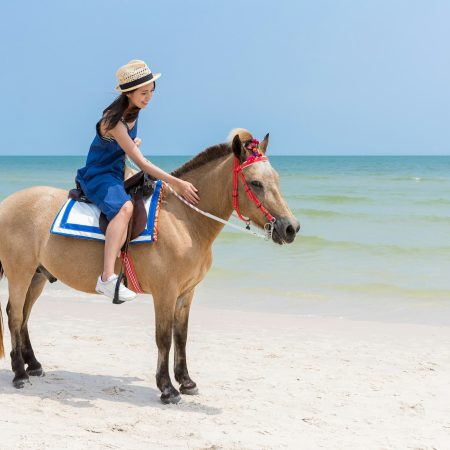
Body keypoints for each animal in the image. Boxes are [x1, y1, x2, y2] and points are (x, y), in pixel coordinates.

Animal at [0, 127, 302, 404]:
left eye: (275, 179)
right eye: (255, 183)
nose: (291, 228)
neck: (184, 220)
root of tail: (7, 203)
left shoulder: (185, 293)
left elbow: (181, 336)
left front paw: (186, 381)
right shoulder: (165, 293)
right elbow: (164, 338)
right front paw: (167, 388)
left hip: (37, 277)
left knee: (23, 316)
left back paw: (32, 365)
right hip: (20, 274)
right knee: (15, 316)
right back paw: (19, 374)